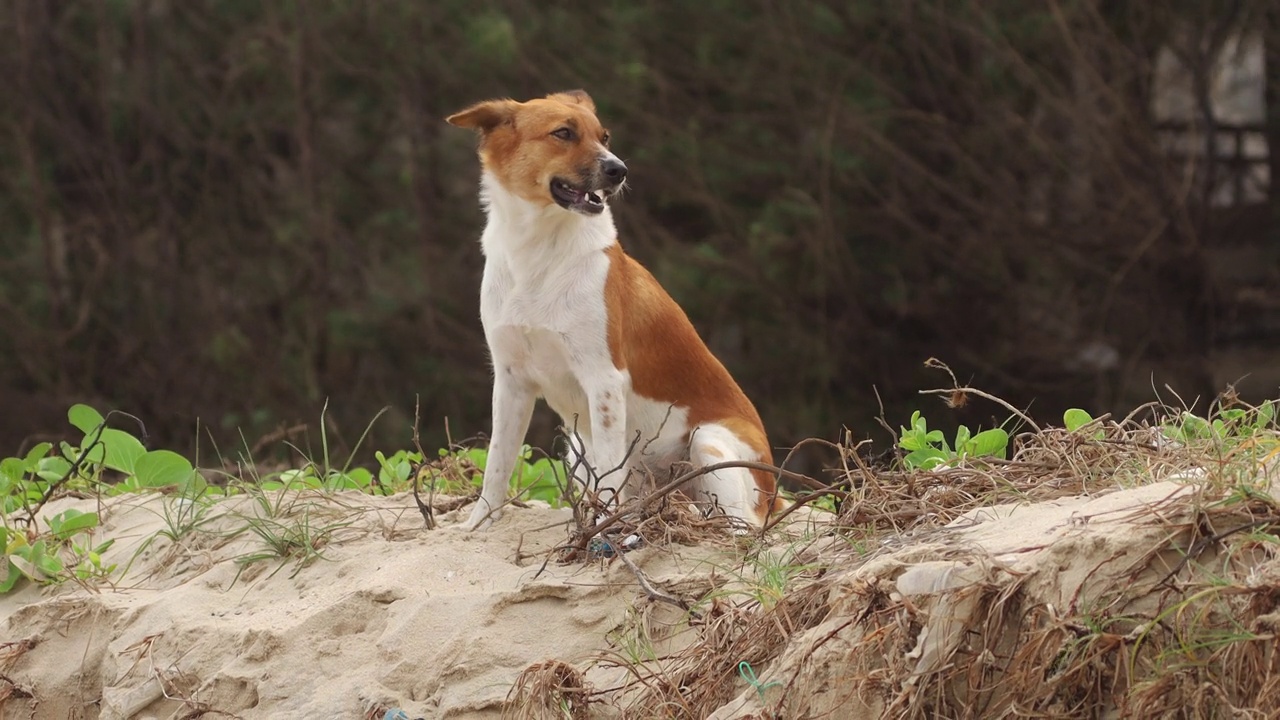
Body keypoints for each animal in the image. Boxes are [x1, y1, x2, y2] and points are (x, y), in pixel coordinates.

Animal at [448, 88, 778, 527]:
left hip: (708, 443)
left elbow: (607, 473)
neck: (538, 252)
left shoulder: (603, 380)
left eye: (603, 136)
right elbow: (497, 466)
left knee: (743, 528)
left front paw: (605, 527)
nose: (619, 170)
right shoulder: (510, 381)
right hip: (576, 444)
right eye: (564, 133)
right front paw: (479, 523)